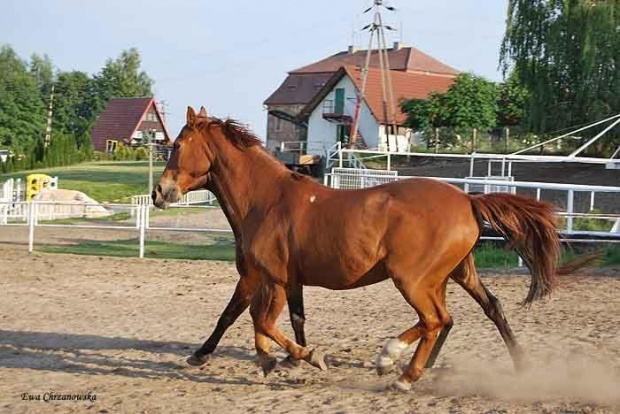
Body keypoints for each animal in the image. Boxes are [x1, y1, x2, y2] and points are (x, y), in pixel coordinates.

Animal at [151, 107, 560, 392]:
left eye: (177, 145)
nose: (159, 192)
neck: (265, 201)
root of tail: (467, 199)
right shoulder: (281, 280)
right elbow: (274, 318)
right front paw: (275, 361)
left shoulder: (264, 277)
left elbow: (248, 318)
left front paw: (303, 357)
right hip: (454, 273)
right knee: (477, 311)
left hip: (412, 280)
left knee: (434, 320)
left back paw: (396, 367)